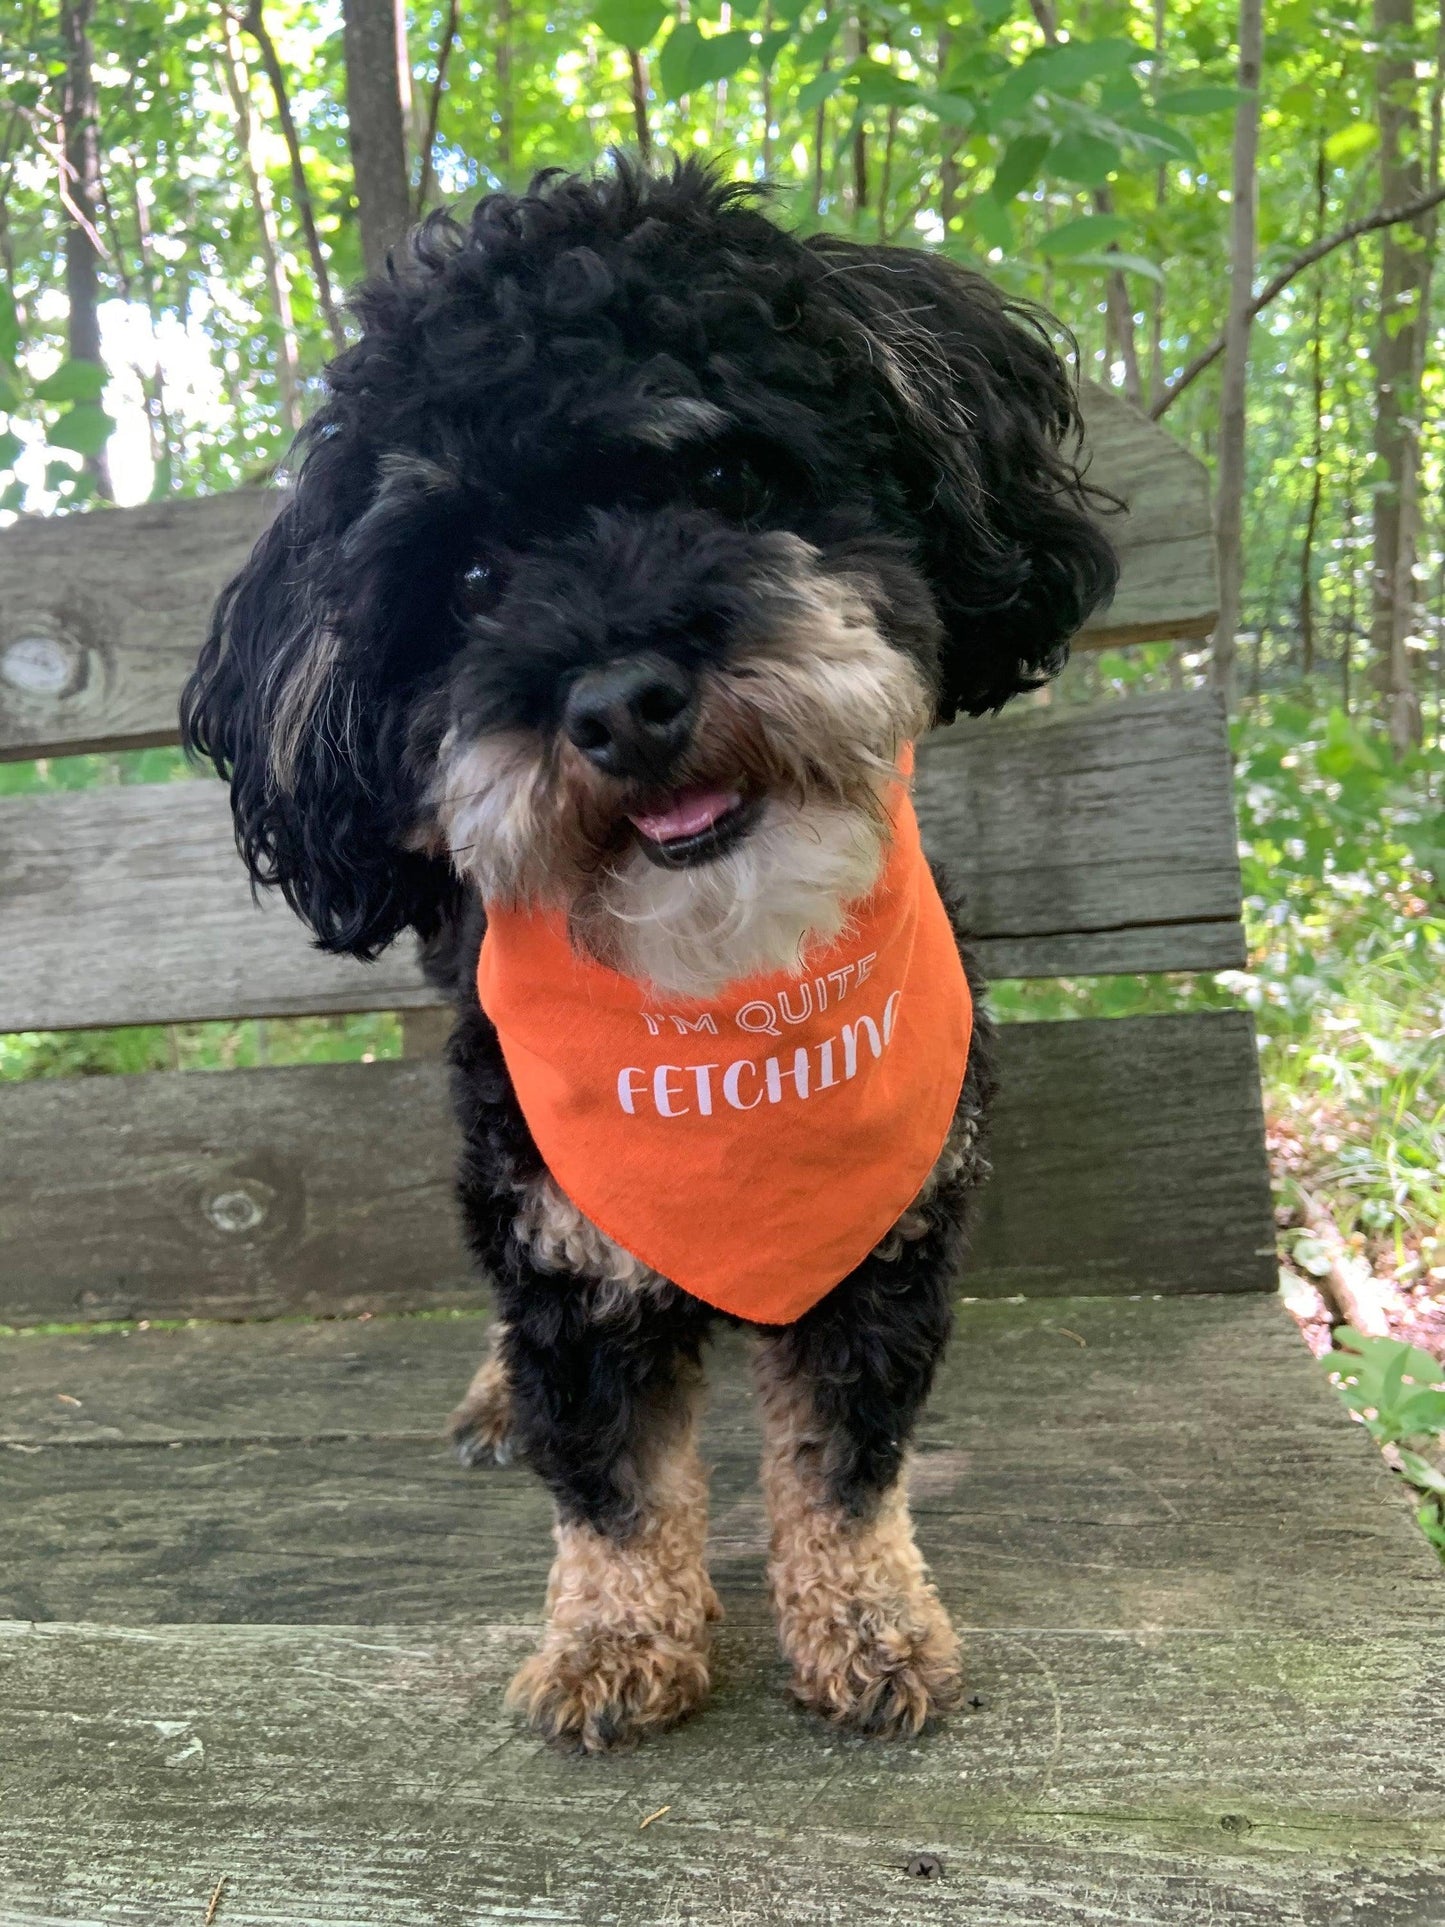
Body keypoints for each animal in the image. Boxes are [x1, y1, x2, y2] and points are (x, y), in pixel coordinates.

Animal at [181, 158, 1125, 1757]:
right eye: (471, 577)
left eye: (726, 481)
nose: (619, 701)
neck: (720, 982)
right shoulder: (565, 1237)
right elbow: (611, 1476)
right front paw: (617, 1639)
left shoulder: (885, 1246)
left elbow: (843, 1465)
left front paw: (867, 1624)